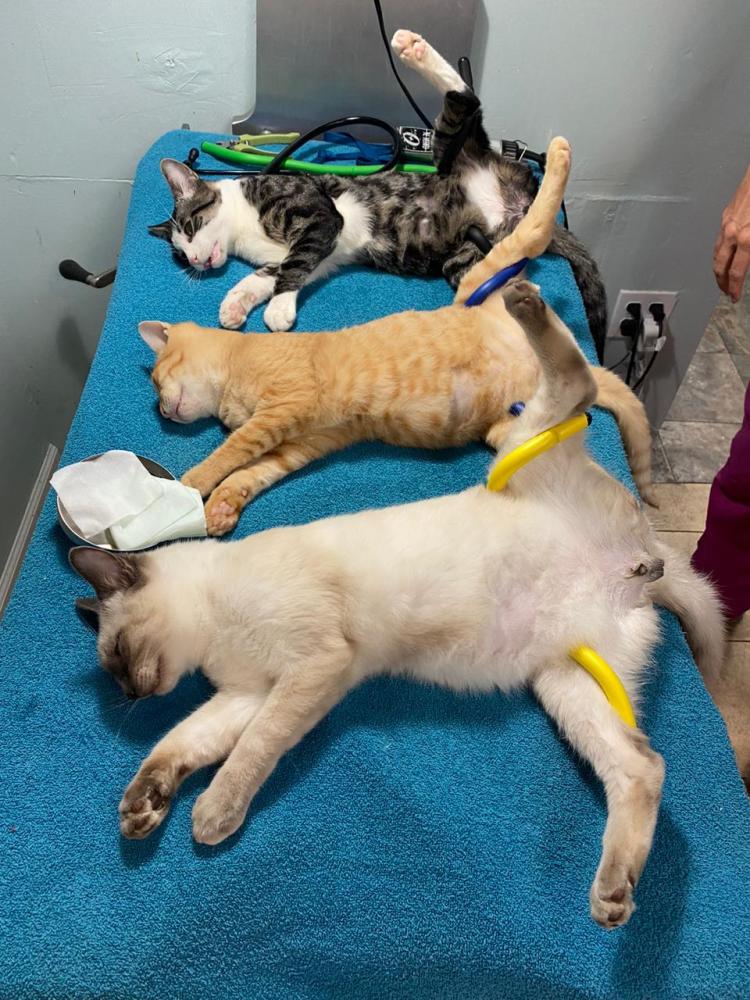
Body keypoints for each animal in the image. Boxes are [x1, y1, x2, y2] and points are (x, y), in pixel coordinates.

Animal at [72, 280, 728, 928]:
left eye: (121, 654)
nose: (131, 694)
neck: (214, 635)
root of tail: (645, 555)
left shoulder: (313, 669)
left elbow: (251, 751)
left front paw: (211, 816)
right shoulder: (247, 694)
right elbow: (179, 742)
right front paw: (142, 808)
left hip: (519, 453)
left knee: (581, 385)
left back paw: (523, 299)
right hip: (566, 683)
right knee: (644, 766)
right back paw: (613, 896)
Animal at [150, 27, 608, 354]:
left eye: (190, 228)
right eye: (179, 254)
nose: (194, 260)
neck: (244, 229)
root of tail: (515, 202)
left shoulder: (319, 214)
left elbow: (293, 264)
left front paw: (279, 309)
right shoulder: (321, 251)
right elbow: (270, 274)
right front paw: (237, 302)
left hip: (456, 152)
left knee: (466, 99)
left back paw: (415, 50)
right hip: (468, 258)